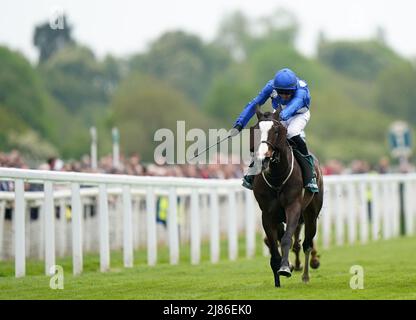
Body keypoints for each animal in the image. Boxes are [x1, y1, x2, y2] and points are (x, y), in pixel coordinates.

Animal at [252, 105, 324, 288]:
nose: (263, 158)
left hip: (311, 214)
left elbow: (286, 240)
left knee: (307, 244)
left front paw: (285, 267)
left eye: (276, 130)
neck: (277, 177)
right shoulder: (267, 214)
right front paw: (278, 278)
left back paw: (305, 275)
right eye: (256, 129)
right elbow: (273, 245)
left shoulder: (293, 208)